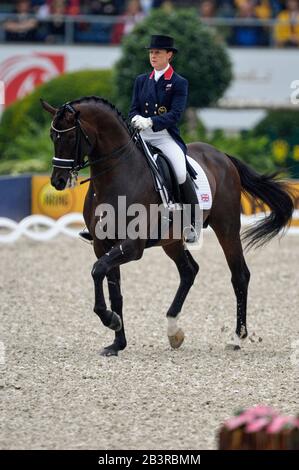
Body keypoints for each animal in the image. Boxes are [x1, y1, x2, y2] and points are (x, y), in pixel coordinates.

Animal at [40, 96, 296, 356]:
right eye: (52, 136)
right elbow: (113, 289)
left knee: (239, 276)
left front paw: (110, 320)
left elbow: (97, 270)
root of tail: (222, 155)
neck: (115, 178)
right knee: (189, 271)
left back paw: (237, 338)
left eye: (71, 137)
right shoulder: (103, 245)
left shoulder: (132, 246)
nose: (57, 181)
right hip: (171, 241)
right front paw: (117, 341)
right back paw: (174, 331)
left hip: (227, 228)